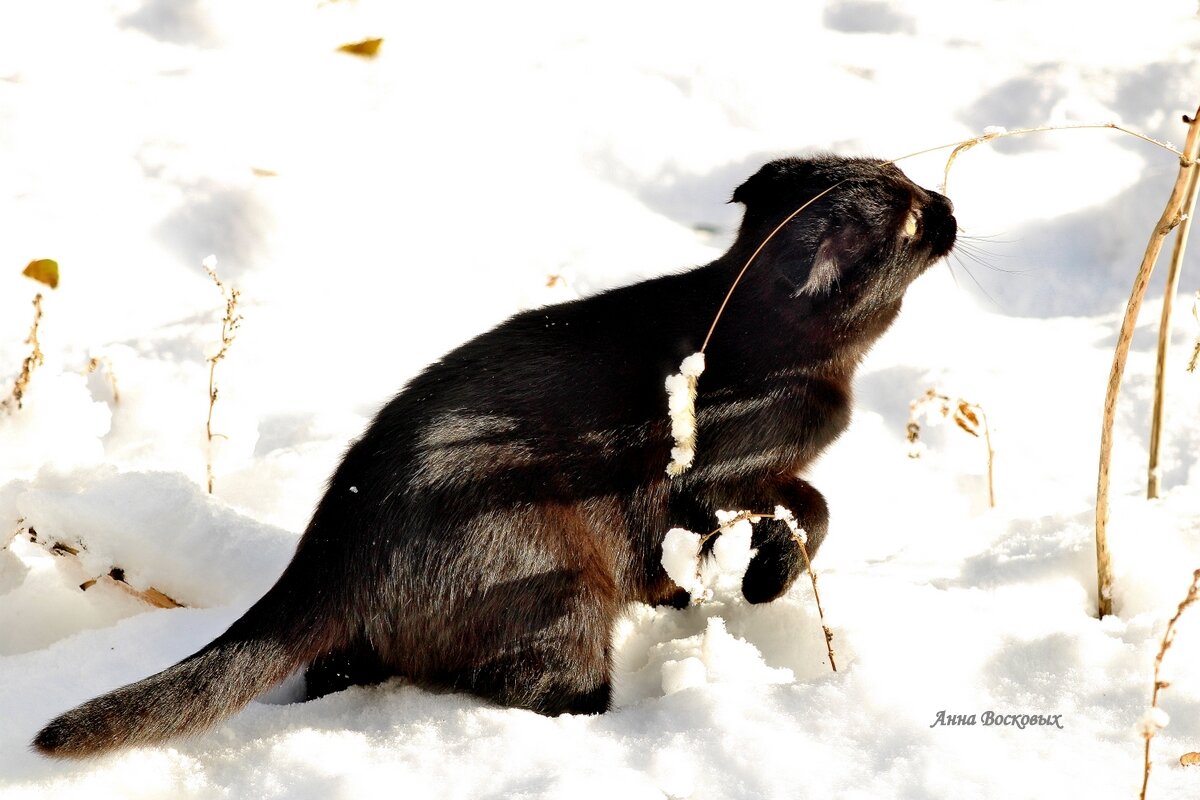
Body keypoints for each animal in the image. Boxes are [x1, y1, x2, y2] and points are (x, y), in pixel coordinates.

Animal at [35, 151, 955, 758]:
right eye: (912, 218)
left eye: (915, 191)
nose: (948, 202)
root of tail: (331, 549)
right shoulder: (712, 472)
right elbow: (810, 505)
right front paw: (764, 577)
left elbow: (785, 511)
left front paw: (727, 579)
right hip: (560, 578)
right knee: (543, 687)